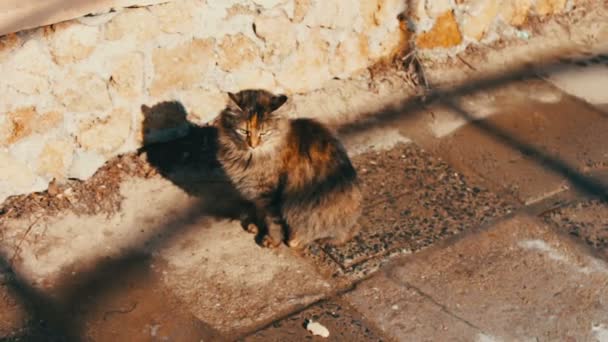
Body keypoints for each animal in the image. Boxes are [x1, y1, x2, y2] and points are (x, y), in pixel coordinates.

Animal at [214, 88, 360, 248]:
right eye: (244, 131)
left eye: (264, 133)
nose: (253, 144)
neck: (248, 157)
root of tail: (352, 224)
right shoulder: (256, 193)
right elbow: (259, 212)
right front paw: (256, 225)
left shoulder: (270, 196)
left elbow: (273, 222)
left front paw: (272, 240)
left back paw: (295, 239)